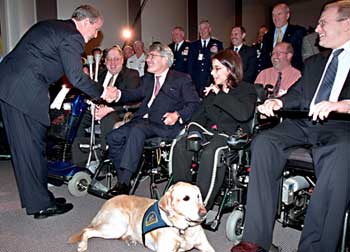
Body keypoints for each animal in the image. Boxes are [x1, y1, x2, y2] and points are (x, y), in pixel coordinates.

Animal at [68, 182, 215, 251]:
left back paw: (130, 238)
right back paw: (82, 245)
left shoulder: (205, 246)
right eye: (186, 198)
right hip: (117, 226)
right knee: (88, 230)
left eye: (198, 196)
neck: (183, 230)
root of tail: (107, 202)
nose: (204, 213)